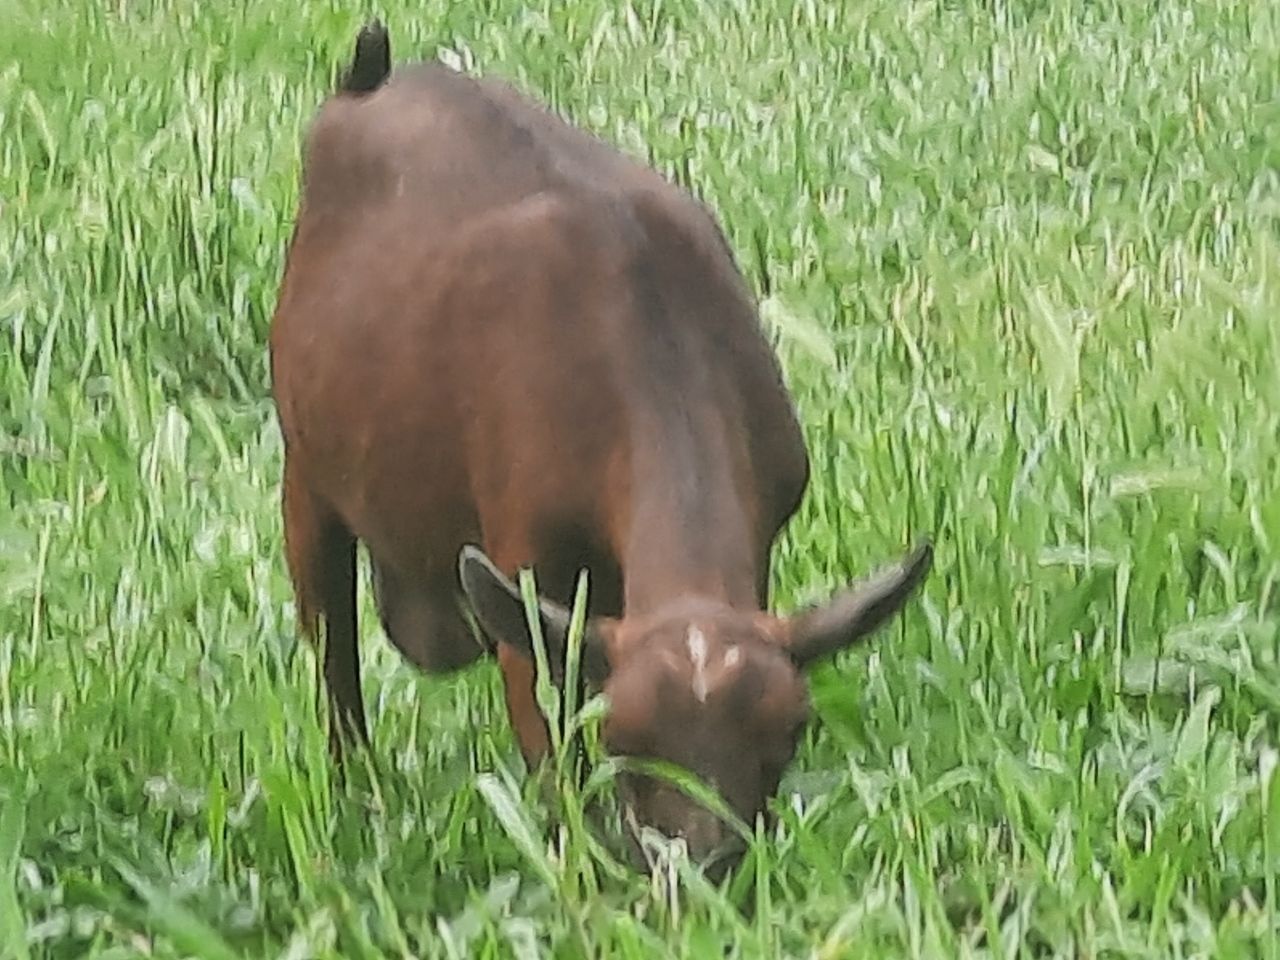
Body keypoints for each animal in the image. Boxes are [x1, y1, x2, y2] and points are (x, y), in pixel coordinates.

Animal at [270, 22, 931, 880]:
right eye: (623, 738)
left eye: (791, 733)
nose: (698, 875)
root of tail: (371, 80)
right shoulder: (523, 570)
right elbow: (556, 770)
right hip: (306, 473)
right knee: (333, 653)